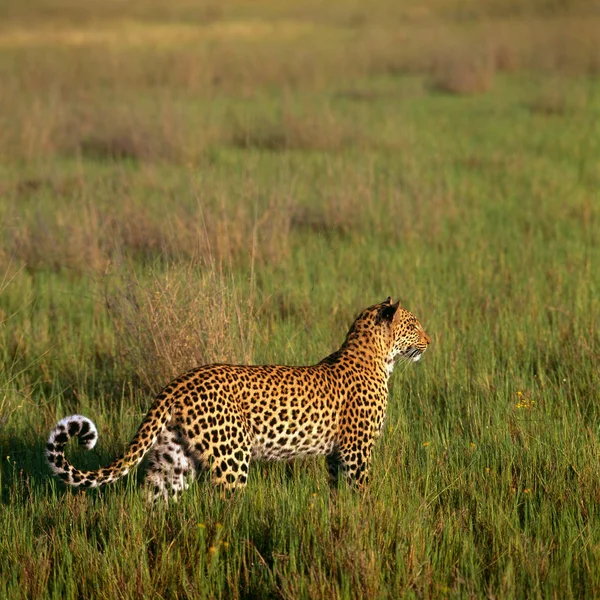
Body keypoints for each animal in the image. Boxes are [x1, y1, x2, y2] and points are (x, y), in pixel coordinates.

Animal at [47, 298, 432, 500]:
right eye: (413, 324)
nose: (430, 341)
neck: (377, 357)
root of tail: (178, 382)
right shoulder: (356, 451)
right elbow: (361, 492)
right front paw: (364, 519)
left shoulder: (337, 455)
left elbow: (339, 495)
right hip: (231, 457)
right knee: (224, 508)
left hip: (173, 460)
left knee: (155, 500)